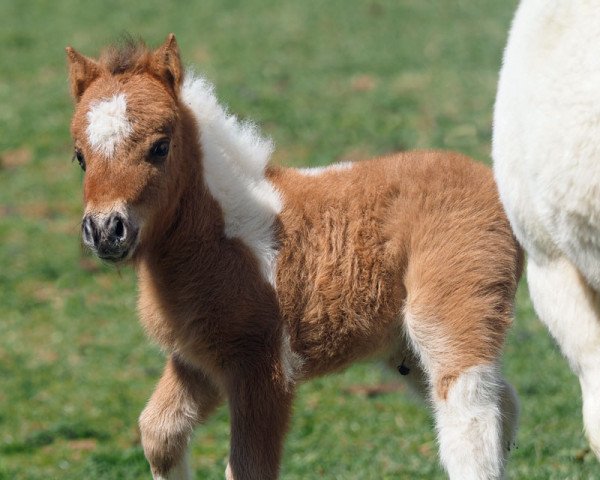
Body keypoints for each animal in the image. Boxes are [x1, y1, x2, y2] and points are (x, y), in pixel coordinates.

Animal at [68, 35, 524, 478]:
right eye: (79, 156)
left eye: (161, 148)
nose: (106, 230)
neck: (223, 236)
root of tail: (490, 181)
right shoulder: (197, 362)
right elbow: (159, 435)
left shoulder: (265, 368)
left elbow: (248, 468)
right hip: (404, 348)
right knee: (504, 403)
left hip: (447, 313)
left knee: (470, 419)